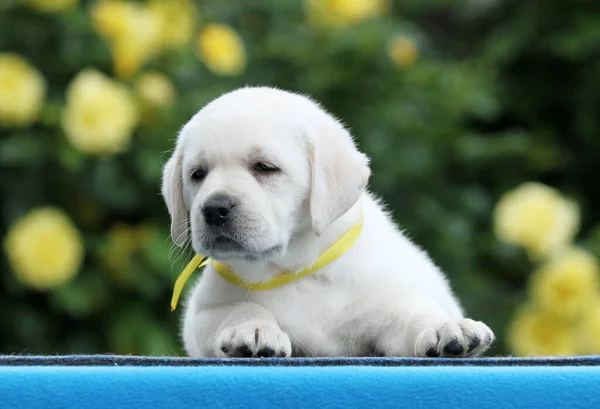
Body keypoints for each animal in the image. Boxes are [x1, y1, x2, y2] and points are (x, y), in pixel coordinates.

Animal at [162, 87, 494, 356]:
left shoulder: (387, 301)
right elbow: (240, 309)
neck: (296, 267)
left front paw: (446, 328)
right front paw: (253, 329)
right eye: (197, 174)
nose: (214, 208)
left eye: (265, 167)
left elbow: (413, 312)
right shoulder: (203, 314)